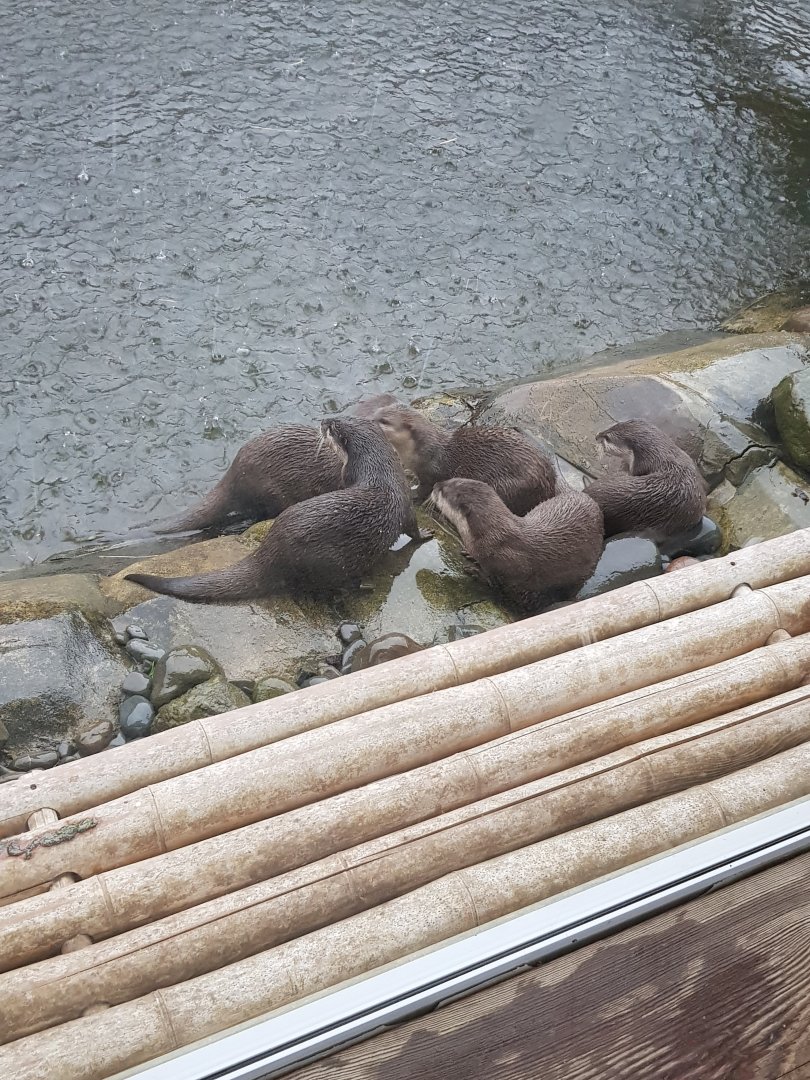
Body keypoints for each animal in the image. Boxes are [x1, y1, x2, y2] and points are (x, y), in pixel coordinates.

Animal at [357, 400, 556, 515]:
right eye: (378, 411)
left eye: (384, 421)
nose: (368, 418)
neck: (422, 451)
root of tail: (549, 485)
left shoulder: (431, 472)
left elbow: (425, 489)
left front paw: (413, 495)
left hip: (510, 486)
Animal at [430, 478, 604, 612]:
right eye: (450, 479)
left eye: (443, 491)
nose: (435, 485)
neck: (492, 537)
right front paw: (471, 556)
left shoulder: (514, 564)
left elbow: (498, 579)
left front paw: (478, 574)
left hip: (584, 570)